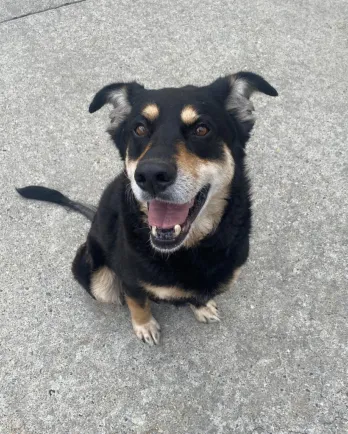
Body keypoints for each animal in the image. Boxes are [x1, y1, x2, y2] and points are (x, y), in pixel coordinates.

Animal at [17, 72, 278, 346]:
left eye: (202, 129)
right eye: (139, 129)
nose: (151, 175)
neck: (188, 250)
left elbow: (198, 295)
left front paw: (201, 307)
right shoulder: (130, 279)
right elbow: (138, 302)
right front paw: (145, 326)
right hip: (97, 277)